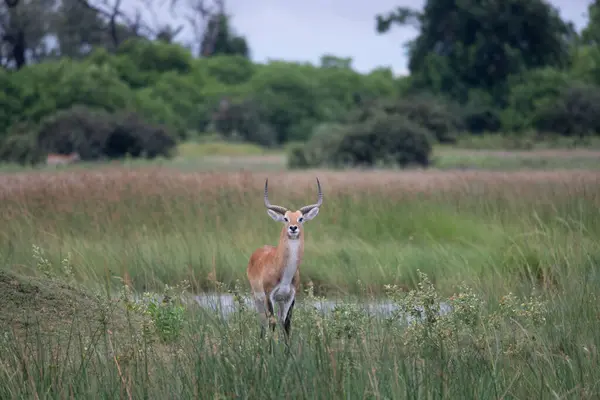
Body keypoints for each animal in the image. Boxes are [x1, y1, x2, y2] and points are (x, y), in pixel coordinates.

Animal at [246, 177, 324, 340]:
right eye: (285, 218)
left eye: (301, 218)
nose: (293, 228)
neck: (284, 272)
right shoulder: (269, 296)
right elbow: (272, 323)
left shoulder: (290, 297)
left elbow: (286, 324)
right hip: (257, 298)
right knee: (263, 322)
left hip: (279, 302)